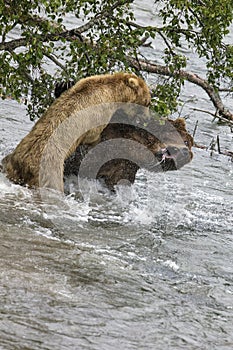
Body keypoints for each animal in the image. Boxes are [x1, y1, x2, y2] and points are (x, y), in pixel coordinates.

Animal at [1, 72, 151, 191]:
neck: (114, 92)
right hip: (49, 173)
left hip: (11, 163)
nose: (147, 116)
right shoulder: (101, 109)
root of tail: (25, 166)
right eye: (147, 101)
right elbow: (94, 133)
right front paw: (97, 139)